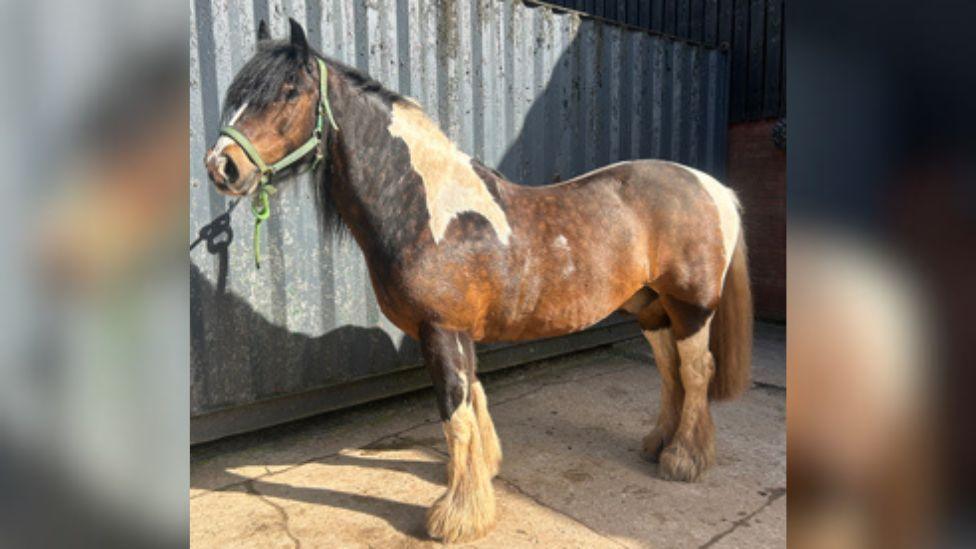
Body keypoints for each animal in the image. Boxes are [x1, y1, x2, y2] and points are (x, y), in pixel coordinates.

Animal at [204, 18, 756, 544]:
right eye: (238, 94)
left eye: (289, 91)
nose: (221, 166)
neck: (425, 212)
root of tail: (712, 187)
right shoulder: (456, 332)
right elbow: (473, 398)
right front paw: (481, 477)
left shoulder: (441, 330)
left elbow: (455, 413)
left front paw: (457, 516)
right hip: (650, 307)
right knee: (670, 372)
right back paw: (658, 444)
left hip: (689, 308)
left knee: (697, 372)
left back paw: (684, 459)